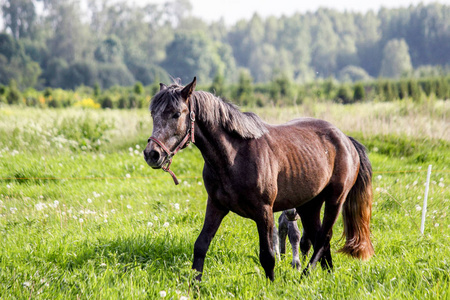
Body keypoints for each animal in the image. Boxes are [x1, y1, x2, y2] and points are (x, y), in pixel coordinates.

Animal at [143, 77, 372, 282]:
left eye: (176, 114)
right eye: (153, 113)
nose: (152, 154)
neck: (234, 156)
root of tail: (345, 140)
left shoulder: (264, 211)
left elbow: (268, 256)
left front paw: (271, 286)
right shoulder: (216, 206)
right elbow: (201, 245)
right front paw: (195, 286)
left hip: (335, 200)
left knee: (324, 237)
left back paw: (305, 276)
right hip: (309, 205)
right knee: (318, 239)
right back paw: (328, 276)